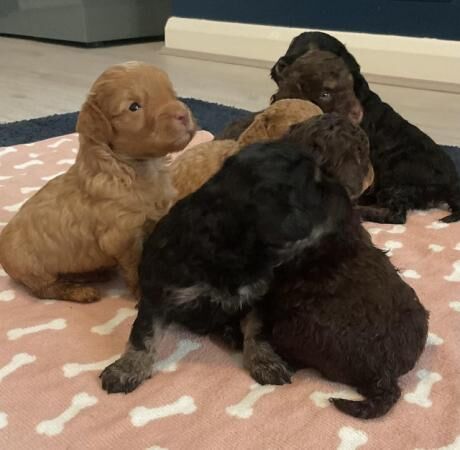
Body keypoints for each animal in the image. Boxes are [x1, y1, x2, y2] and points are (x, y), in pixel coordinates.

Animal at [0, 60, 196, 302]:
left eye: (172, 93)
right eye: (134, 107)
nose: (183, 114)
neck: (135, 168)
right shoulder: (122, 237)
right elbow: (135, 267)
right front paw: (141, 294)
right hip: (34, 270)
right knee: (46, 290)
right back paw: (80, 291)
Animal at [99, 132, 352, 392]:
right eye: (318, 189)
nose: (347, 196)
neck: (229, 244)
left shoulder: (258, 294)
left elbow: (257, 329)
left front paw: (265, 361)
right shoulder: (160, 291)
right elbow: (144, 332)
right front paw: (127, 369)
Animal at [270, 29, 460, 223]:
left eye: (312, 54)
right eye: (291, 47)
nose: (280, 65)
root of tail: (451, 185)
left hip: (398, 178)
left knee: (396, 214)